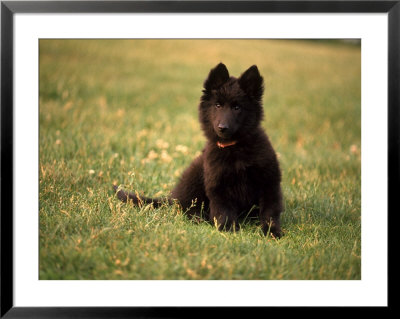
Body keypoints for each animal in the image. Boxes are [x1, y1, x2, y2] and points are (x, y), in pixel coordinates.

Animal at [115, 63, 282, 238]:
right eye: (217, 105)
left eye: (237, 107)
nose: (222, 128)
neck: (235, 148)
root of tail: (172, 197)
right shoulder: (218, 186)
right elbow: (224, 211)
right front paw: (228, 230)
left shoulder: (269, 182)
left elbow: (269, 211)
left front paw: (272, 231)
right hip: (195, 173)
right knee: (187, 209)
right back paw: (200, 220)